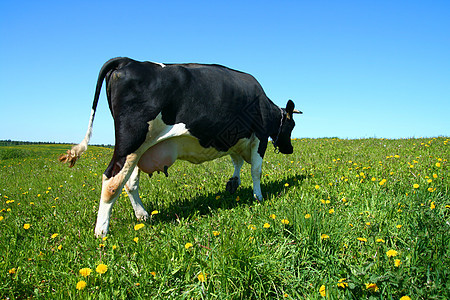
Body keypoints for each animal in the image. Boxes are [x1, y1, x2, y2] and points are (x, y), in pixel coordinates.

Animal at [59, 56, 298, 237]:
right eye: (292, 125)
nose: (290, 149)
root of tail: (128, 60)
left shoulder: (234, 139)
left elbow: (236, 162)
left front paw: (233, 183)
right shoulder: (260, 137)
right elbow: (256, 171)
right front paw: (259, 197)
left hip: (137, 150)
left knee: (129, 183)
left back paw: (142, 215)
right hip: (131, 141)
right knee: (111, 181)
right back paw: (101, 232)